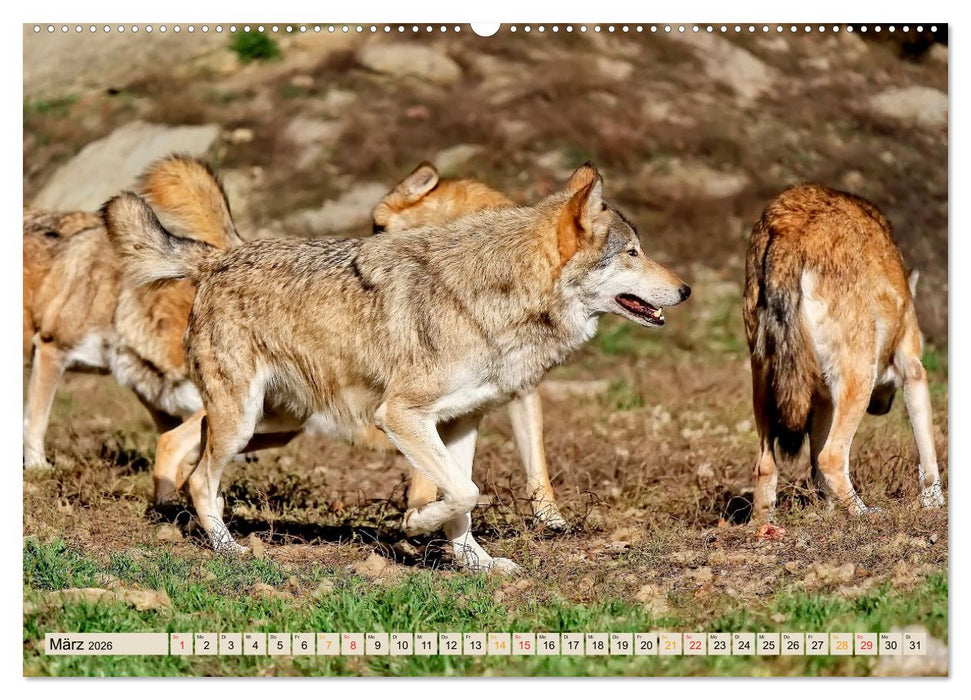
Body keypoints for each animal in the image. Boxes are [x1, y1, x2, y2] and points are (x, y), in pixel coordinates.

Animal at [743, 183, 944, 518]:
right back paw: (866, 514)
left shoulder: (824, 401)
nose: (881, 409)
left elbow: (816, 473)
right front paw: (935, 504)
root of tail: (789, 227)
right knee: (832, 458)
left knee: (766, 466)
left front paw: (826, 513)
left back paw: (763, 524)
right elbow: (928, 458)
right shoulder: (914, 370)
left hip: (764, 384)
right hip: (859, 379)